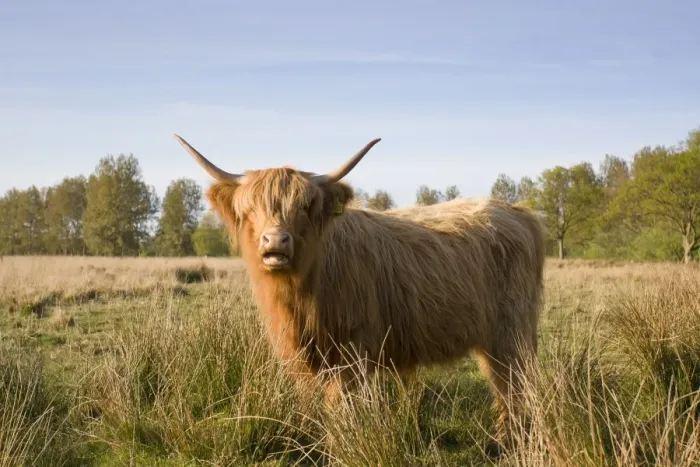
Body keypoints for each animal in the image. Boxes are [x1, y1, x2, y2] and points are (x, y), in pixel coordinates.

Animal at [174, 134, 546, 454]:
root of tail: (517, 212)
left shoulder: (353, 350)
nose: (276, 241)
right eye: (250, 208)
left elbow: (344, 406)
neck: (303, 292)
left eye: (306, 207)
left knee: (513, 383)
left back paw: (508, 442)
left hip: (511, 331)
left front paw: (343, 445)